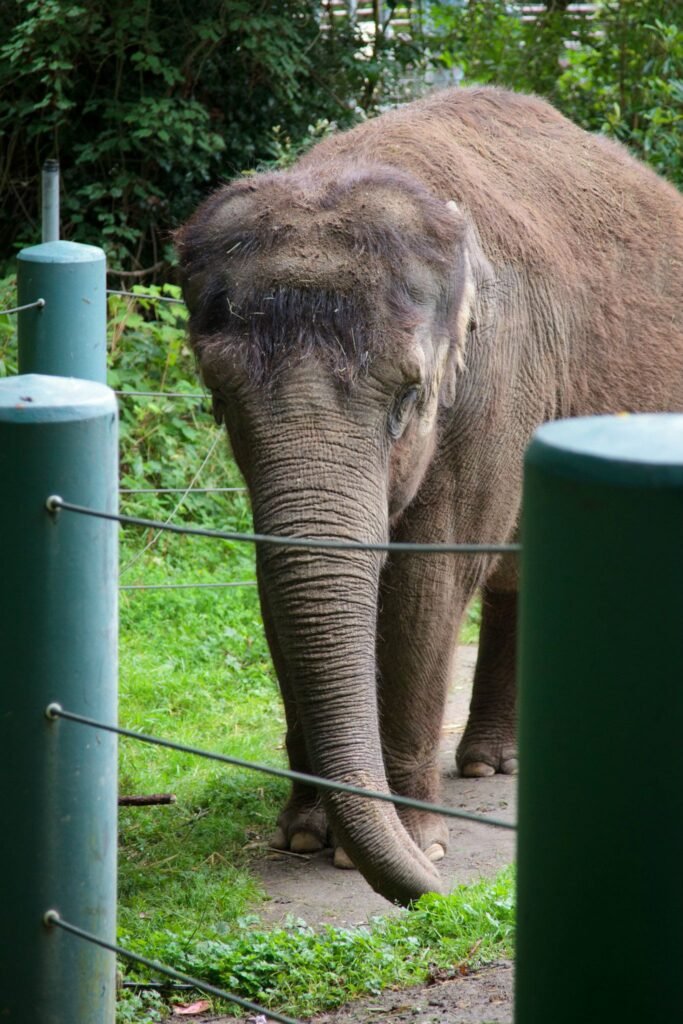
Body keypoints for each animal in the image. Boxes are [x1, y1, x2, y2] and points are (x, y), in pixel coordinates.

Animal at [176, 86, 683, 906]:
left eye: (407, 397)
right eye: (219, 397)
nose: (442, 894)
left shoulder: (496, 388)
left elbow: (427, 584)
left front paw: (416, 845)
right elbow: (275, 578)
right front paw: (303, 836)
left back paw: (485, 769)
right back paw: (485, 764)